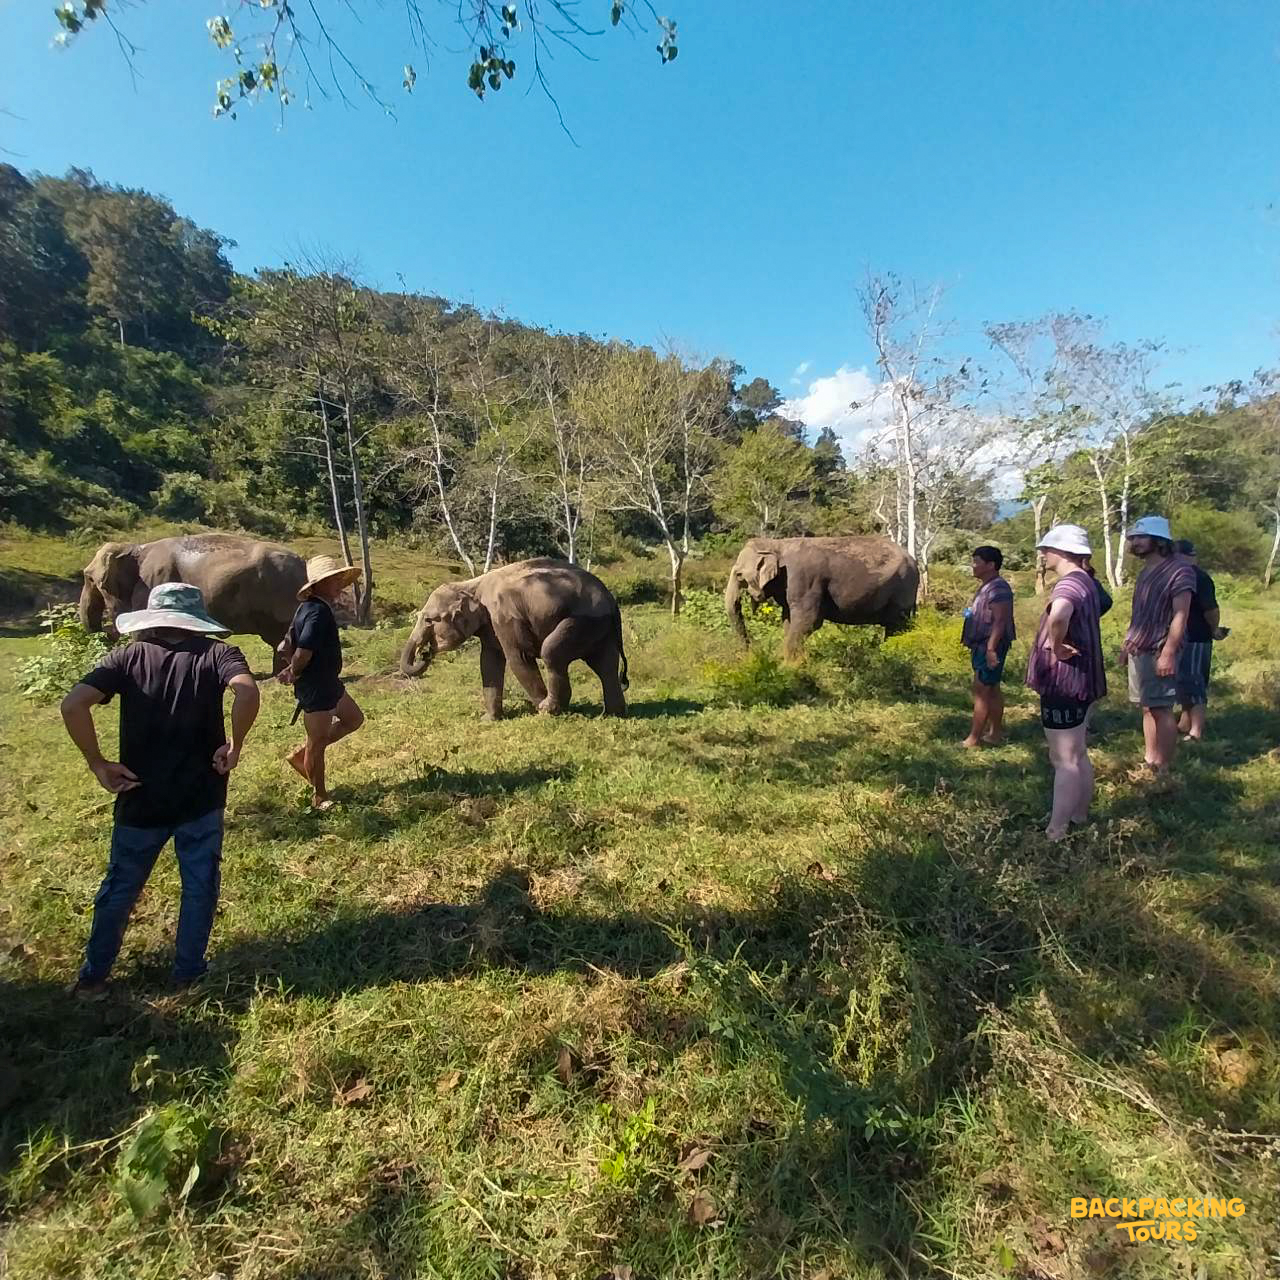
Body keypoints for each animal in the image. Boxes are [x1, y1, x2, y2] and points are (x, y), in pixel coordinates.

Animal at [79, 533, 308, 668]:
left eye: (89, 578)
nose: (104, 634)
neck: (136, 548)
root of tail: (302, 562)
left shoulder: (153, 582)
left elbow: (144, 632)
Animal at [399, 558, 629, 719]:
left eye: (428, 620)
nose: (425, 653)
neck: (471, 585)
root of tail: (611, 600)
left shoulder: (505, 617)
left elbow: (519, 658)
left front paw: (541, 710)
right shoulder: (490, 626)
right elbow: (489, 662)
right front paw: (489, 719)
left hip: (583, 621)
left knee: (552, 653)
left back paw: (552, 708)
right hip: (600, 628)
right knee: (606, 665)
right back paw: (612, 714)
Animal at [725, 536, 919, 659]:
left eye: (739, 575)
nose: (750, 652)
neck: (776, 544)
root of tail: (914, 561)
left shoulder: (804, 579)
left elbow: (809, 620)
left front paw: (784, 662)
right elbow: (788, 619)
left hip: (903, 589)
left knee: (896, 625)